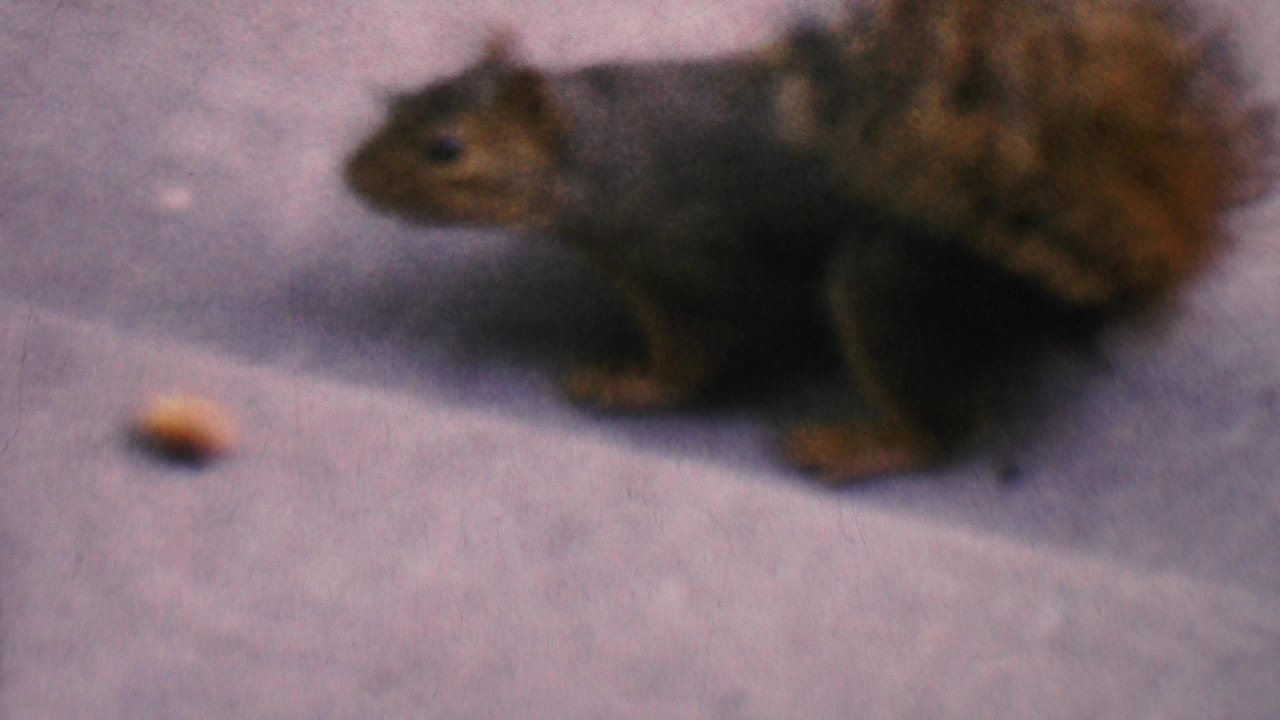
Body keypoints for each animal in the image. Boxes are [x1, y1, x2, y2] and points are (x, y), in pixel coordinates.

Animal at [344, 0, 1273, 484]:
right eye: (403, 100)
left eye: (447, 150)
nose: (352, 175)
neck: (599, 147)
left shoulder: (688, 257)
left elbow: (698, 349)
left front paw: (631, 383)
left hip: (892, 290)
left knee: (950, 426)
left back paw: (858, 443)